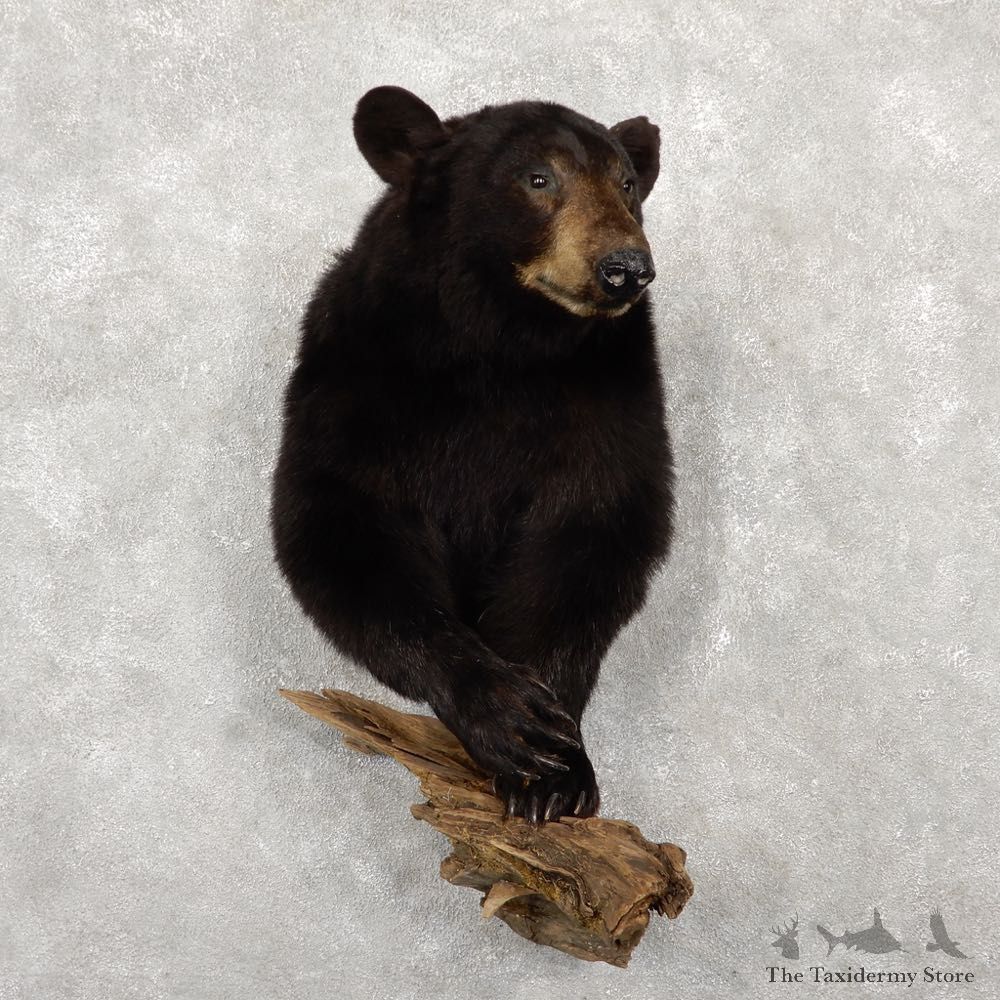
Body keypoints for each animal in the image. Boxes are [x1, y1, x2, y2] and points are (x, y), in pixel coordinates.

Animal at [270, 86, 673, 824]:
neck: (503, 345)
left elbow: (593, 532)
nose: (626, 269)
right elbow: (341, 527)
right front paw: (506, 716)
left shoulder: (613, 396)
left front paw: (557, 772)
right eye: (538, 178)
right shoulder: (357, 377)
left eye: (627, 184)